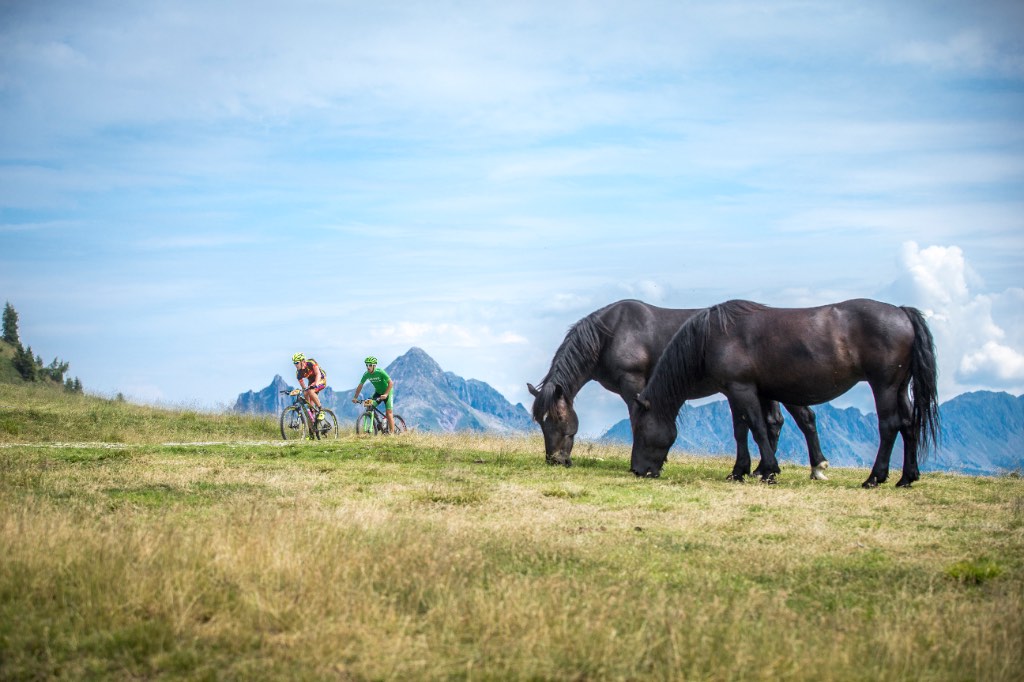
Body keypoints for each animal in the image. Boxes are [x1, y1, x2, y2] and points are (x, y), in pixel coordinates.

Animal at [524, 301, 827, 475]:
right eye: (541, 423)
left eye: (559, 420)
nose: (555, 460)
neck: (609, 334)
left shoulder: (633, 385)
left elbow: (637, 419)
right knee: (774, 422)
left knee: (801, 419)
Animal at [634, 301, 937, 485]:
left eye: (639, 430)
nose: (637, 470)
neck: (713, 336)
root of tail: (901, 312)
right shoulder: (745, 392)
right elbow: (747, 430)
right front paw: (742, 470)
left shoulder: (741, 389)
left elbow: (755, 428)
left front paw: (767, 471)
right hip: (900, 388)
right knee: (908, 425)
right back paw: (907, 478)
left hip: (884, 386)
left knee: (889, 426)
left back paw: (875, 477)